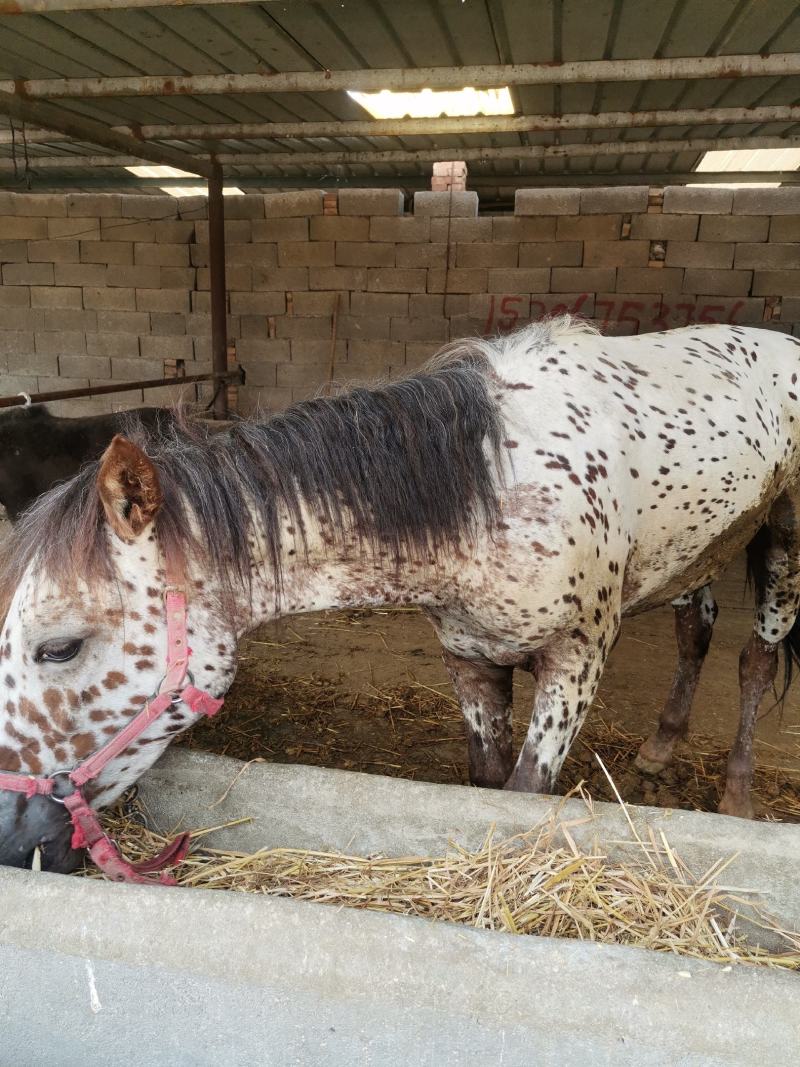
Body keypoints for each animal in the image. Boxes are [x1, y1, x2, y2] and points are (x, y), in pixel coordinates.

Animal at [1, 316, 799, 876]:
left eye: (59, 647)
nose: (11, 836)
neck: (494, 489)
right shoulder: (470, 659)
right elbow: (483, 784)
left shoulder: (576, 665)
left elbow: (524, 795)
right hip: (697, 552)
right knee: (697, 633)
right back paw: (661, 748)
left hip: (783, 544)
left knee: (755, 661)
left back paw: (737, 793)